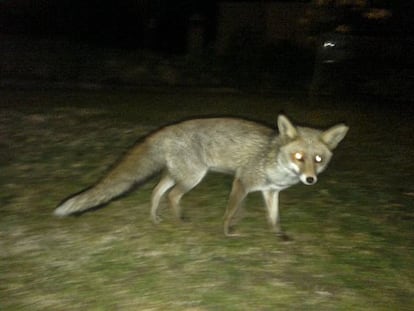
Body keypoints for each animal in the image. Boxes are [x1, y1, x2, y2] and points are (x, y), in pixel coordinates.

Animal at [53, 115, 348, 239]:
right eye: (298, 157)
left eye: (318, 160)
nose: (310, 180)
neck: (273, 160)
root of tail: (166, 129)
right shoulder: (242, 182)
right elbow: (230, 212)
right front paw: (229, 232)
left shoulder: (270, 191)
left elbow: (273, 218)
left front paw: (279, 235)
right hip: (193, 177)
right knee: (171, 196)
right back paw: (179, 220)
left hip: (178, 174)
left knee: (156, 191)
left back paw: (155, 218)